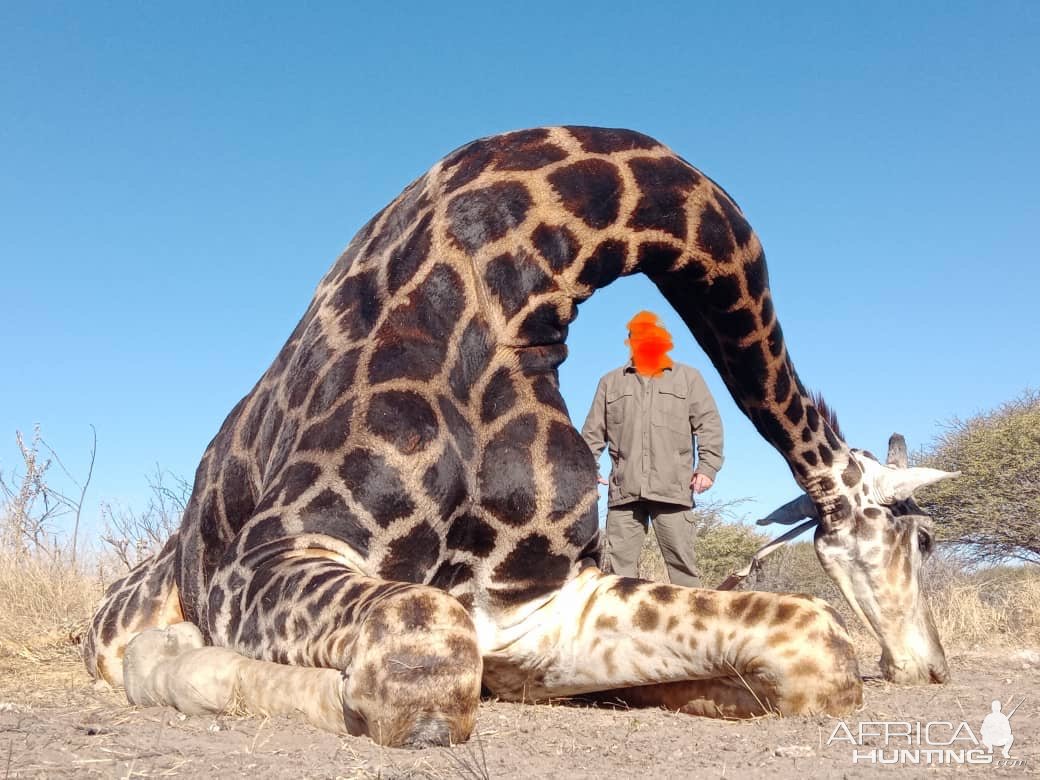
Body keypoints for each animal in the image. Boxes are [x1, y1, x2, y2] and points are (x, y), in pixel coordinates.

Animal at [83, 125, 956, 748]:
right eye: (922, 542)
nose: (935, 667)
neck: (517, 292)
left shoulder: (539, 597)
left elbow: (818, 644)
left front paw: (692, 690)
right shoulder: (274, 552)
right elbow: (425, 672)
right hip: (128, 609)